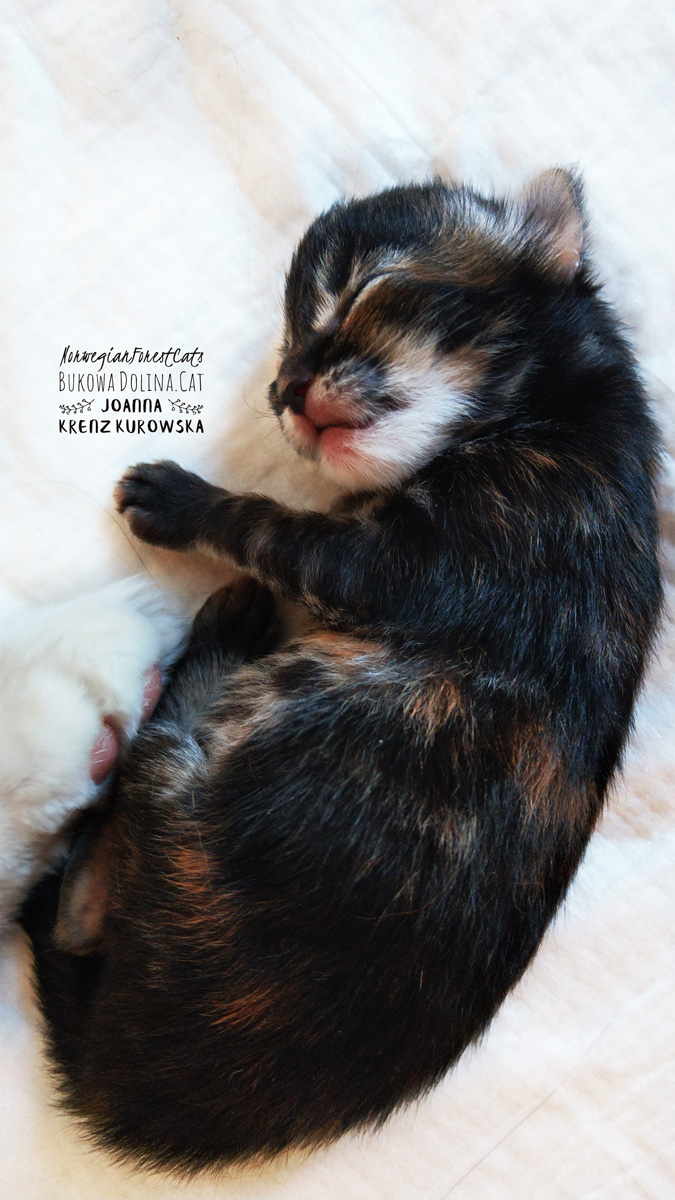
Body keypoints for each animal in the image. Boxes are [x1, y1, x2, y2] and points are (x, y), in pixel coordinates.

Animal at [23, 169, 661, 1173]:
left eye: (365, 290)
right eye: (287, 341)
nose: (282, 390)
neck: (568, 410)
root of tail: (122, 1089)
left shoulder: (411, 560)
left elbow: (272, 526)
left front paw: (179, 499)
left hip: (189, 781)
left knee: (104, 857)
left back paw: (222, 629)